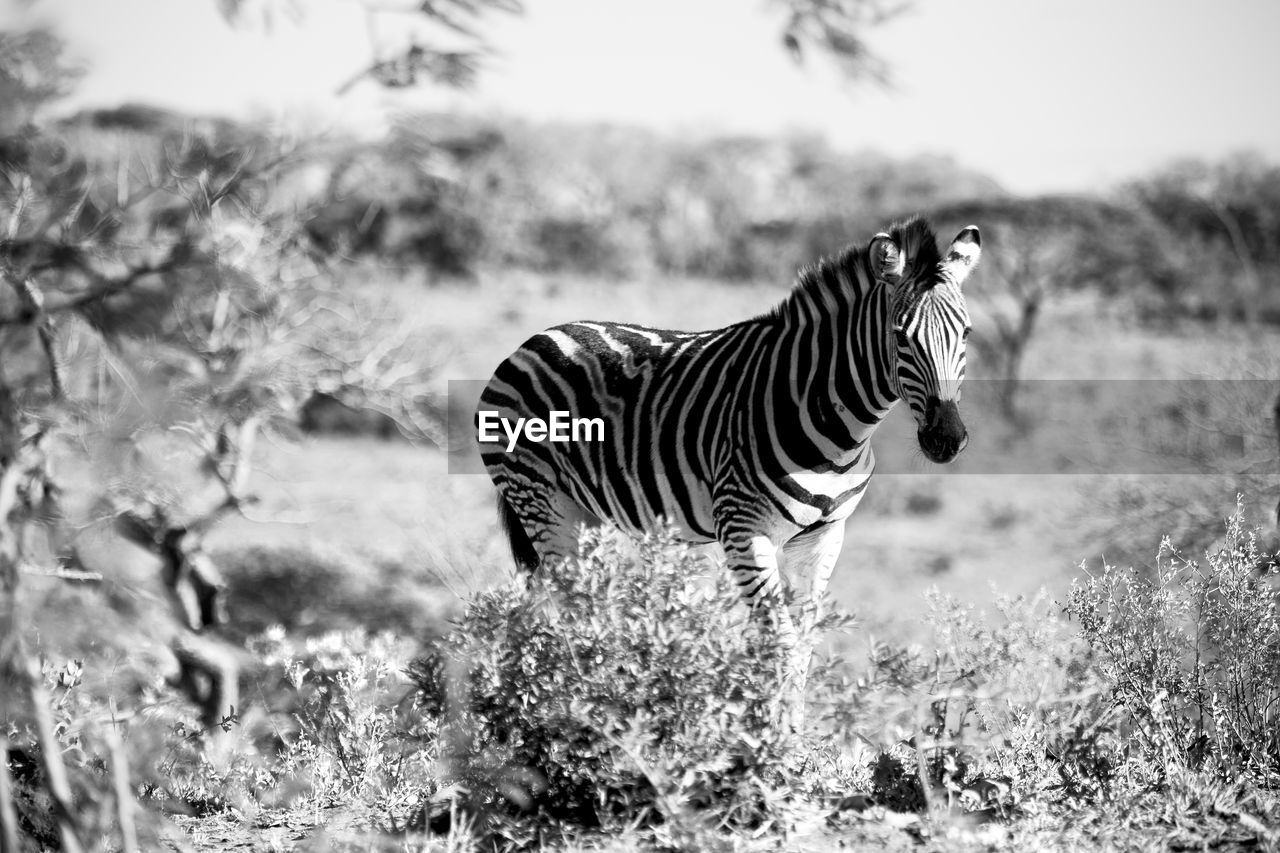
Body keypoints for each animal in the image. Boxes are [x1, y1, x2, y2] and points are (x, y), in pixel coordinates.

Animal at [476, 216, 983, 712]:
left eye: (966, 334)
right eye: (900, 337)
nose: (946, 438)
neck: (835, 425)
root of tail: (536, 338)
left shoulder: (823, 537)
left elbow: (803, 648)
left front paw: (794, 735)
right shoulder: (743, 529)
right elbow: (779, 647)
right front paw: (766, 734)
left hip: (587, 517)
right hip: (542, 500)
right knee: (570, 607)